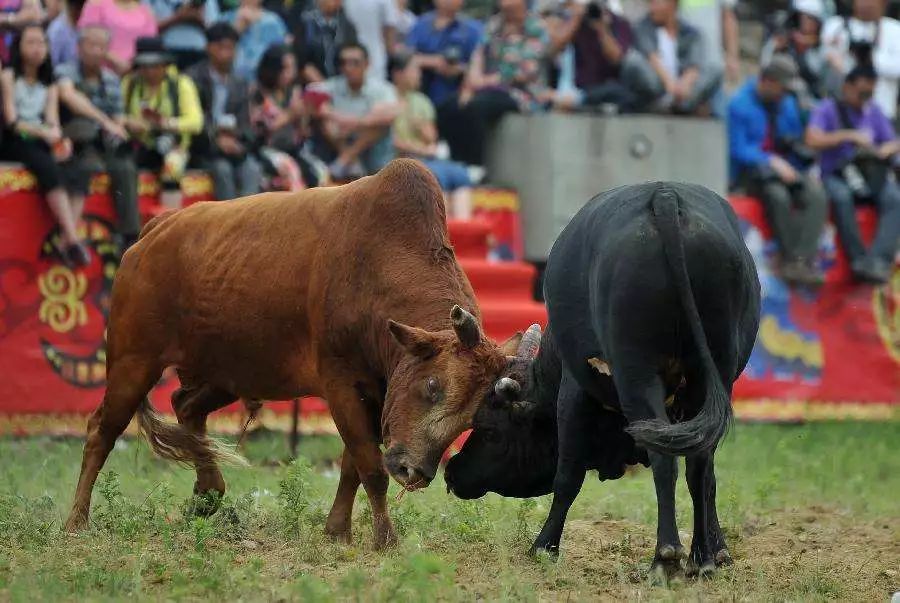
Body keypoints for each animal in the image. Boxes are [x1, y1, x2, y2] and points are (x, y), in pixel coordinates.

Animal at [65, 159, 512, 548]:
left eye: (471, 418)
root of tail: (155, 230)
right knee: (101, 430)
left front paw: (337, 531)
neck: (378, 265)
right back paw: (77, 520)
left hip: (227, 372)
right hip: (133, 362)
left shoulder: (378, 392)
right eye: (433, 386)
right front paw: (385, 539)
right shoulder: (340, 382)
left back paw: (208, 493)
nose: (414, 471)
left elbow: (351, 465)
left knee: (185, 406)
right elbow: (369, 466)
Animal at [442, 182, 760, 580]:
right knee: (698, 463)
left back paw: (664, 557)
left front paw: (543, 546)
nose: (452, 471)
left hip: (637, 374)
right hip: (710, 373)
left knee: (664, 459)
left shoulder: (573, 395)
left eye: (488, 430)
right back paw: (700, 557)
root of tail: (664, 195)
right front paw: (718, 551)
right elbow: (708, 476)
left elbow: (568, 476)